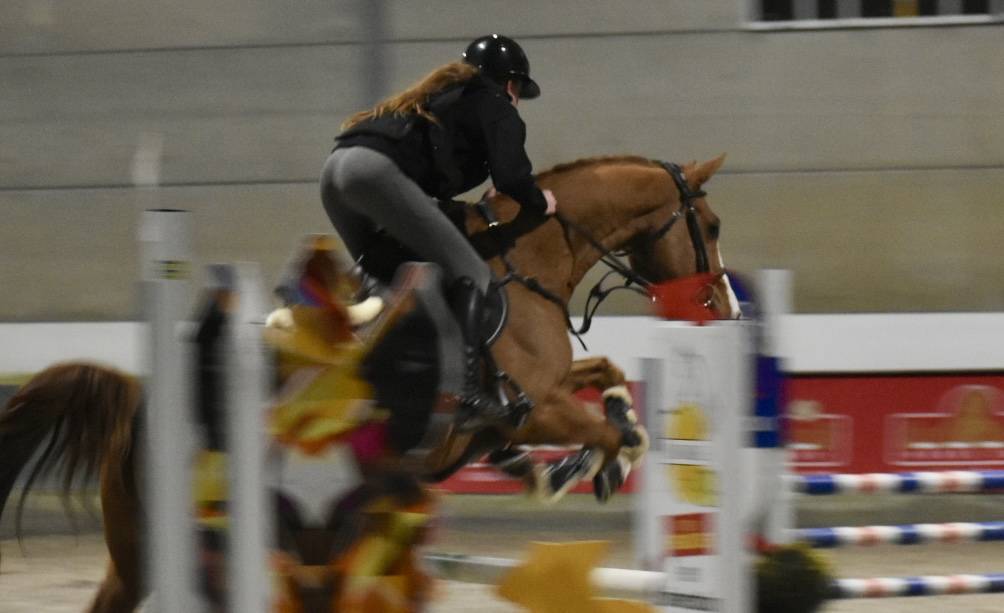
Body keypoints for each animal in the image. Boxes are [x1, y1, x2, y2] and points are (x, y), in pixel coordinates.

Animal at [0, 153, 738, 613]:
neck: (527, 259)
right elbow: (604, 433)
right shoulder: (534, 406)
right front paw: (590, 466)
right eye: (711, 224)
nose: (727, 309)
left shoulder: (536, 398)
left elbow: (605, 377)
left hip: (150, 551)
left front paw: (579, 451)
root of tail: (142, 404)